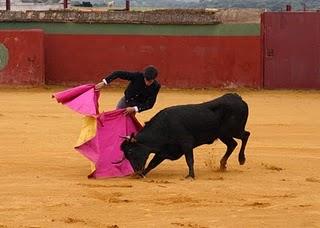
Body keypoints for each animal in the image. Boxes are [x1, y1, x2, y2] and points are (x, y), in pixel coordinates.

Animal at [121, 92, 251, 178]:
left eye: (131, 151)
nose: (136, 171)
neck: (164, 127)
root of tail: (237, 98)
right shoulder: (164, 151)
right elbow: (153, 163)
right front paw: (142, 174)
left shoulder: (186, 143)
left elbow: (189, 159)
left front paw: (190, 176)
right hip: (224, 135)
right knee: (232, 144)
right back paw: (223, 165)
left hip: (233, 130)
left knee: (245, 135)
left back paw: (241, 159)